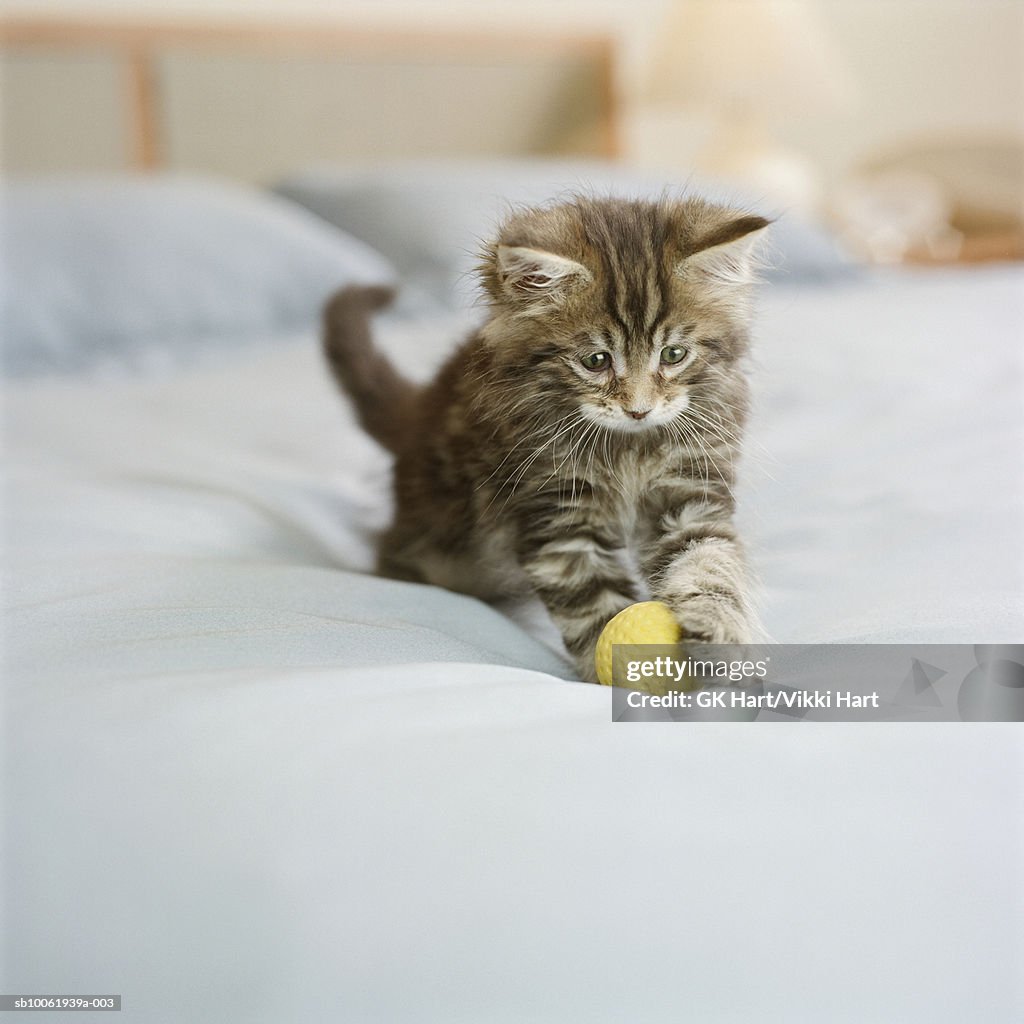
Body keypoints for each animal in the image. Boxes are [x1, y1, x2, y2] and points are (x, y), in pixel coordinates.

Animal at [325, 196, 770, 684]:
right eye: (595, 361)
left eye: (673, 355)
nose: (639, 409)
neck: (629, 447)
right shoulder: (557, 517)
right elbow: (594, 604)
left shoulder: (691, 492)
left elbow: (710, 563)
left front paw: (720, 634)